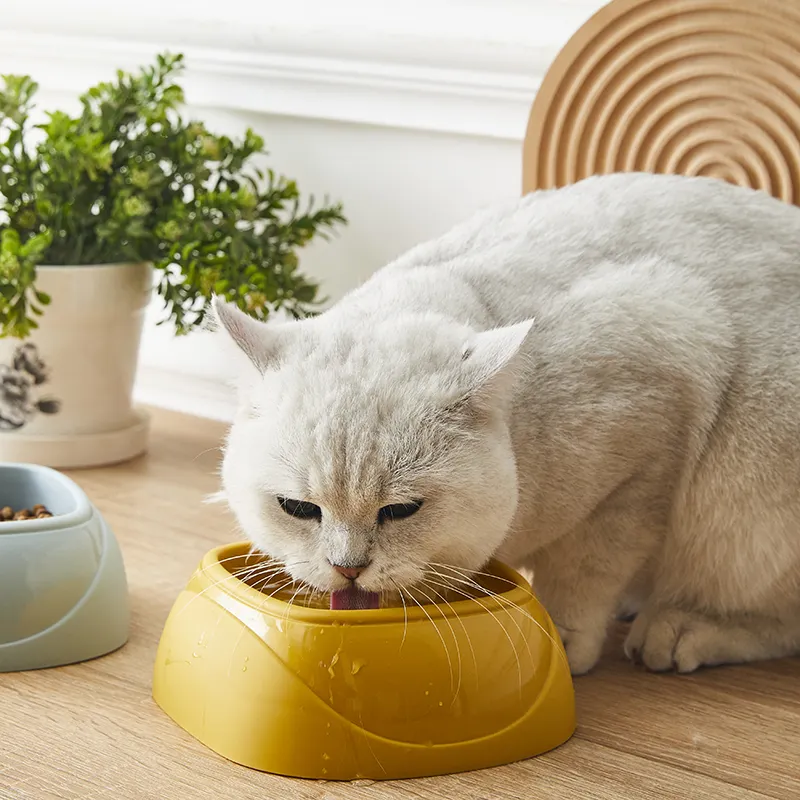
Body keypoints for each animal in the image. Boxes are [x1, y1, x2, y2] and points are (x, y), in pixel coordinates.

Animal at [212, 173, 800, 676]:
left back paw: (678, 630)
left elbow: (586, 570)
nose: (348, 568)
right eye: (298, 510)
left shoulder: (655, 414)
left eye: (401, 511)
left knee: (773, 621)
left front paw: (561, 640)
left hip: (752, 516)